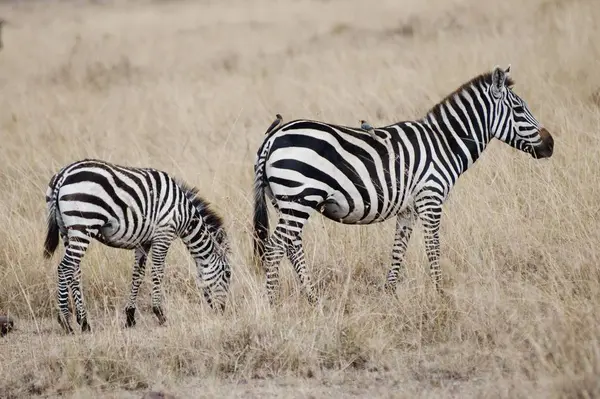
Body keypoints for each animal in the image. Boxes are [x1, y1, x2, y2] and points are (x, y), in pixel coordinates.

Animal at [42, 159, 232, 334]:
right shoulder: (163, 234)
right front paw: (159, 314)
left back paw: (84, 322)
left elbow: (137, 276)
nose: (223, 310)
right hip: (83, 224)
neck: (184, 215)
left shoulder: (143, 243)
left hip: (67, 231)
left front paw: (130, 317)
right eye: (228, 274)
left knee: (75, 271)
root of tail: (63, 174)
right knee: (65, 268)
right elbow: (157, 272)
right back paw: (65, 321)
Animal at [252, 65, 552, 304]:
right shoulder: (431, 197)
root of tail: (273, 137)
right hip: (299, 198)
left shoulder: (409, 208)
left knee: (292, 246)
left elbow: (399, 248)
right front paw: (440, 293)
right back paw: (272, 304)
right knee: (276, 247)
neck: (445, 143)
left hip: (285, 201)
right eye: (519, 109)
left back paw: (313, 298)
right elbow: (433, 246)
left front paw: (390, 292)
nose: (551, 145)